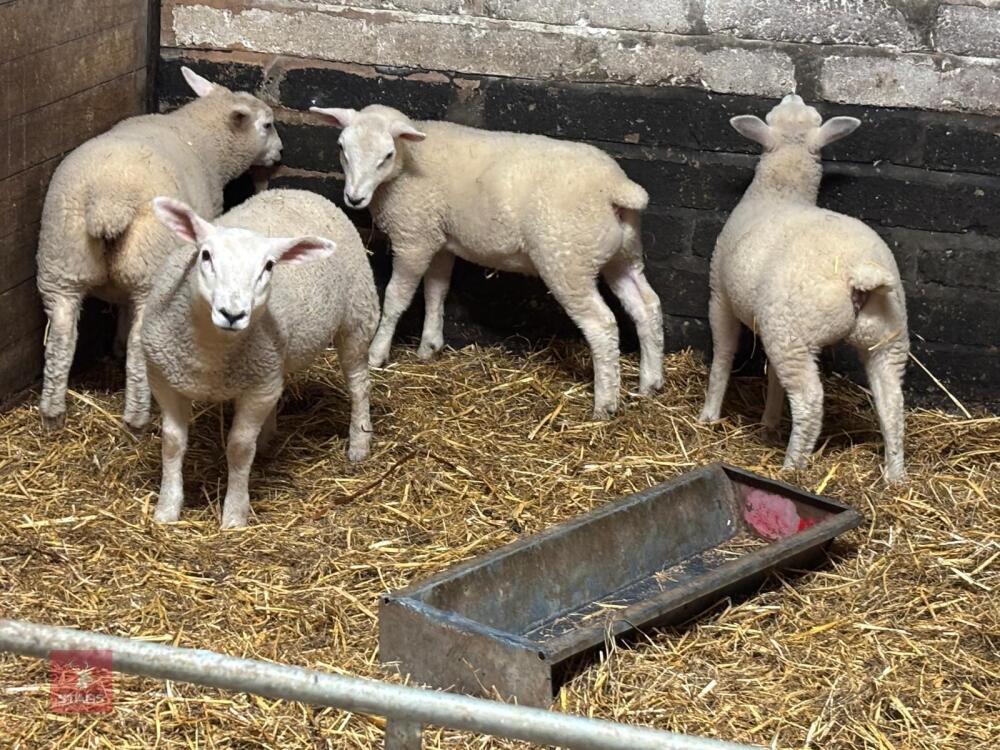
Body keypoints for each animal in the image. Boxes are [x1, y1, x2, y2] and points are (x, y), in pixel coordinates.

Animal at [37, 67, 283, 432]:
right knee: (139, 344)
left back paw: (53, 414)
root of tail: (108, 201)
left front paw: (117, 344)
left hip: (62, 264)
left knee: (61, 340)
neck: (202, 139)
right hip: (147, 268)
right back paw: (137, 418)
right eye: (267, 125)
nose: (280, 154)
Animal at [145, 189, 379, 528]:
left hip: (356, 318)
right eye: (206, 255)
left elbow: (240, 448)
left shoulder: (258, 388)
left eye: (268, 266)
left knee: (359, 385)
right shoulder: (164, 380)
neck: (211, 351)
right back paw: (268, 438)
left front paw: (234, 514)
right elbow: (173, 444)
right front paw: (167, 509)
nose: (232, 314)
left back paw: (359, 442)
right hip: (274, 363)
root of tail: (298, 191)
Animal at [309, 104, 664, 420]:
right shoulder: (441, 240)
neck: (411, 158)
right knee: (647, 306)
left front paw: (376, 353)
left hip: (567, 260)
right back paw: (650, 382)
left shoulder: (415, 238)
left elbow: (397, 298)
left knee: (602, 324)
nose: (354, 198)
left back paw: (605, 404)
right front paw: (429, 346)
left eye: (387, 156)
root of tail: (618, 188)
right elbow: (436, 290)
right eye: (342, 148)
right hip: (621, 254)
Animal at [698, 94, 909, 483]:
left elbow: (723, 356)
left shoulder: (720, 297)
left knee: (810, 402)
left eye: (773, 115)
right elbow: (773, 381)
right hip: (887, 337)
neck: (782, 190)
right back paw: (894, 475)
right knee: (892, 403)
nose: (793, 95)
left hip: (793, 334)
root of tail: (858, 274)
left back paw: (791, 466)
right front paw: (769, 422)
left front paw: (710, 413)